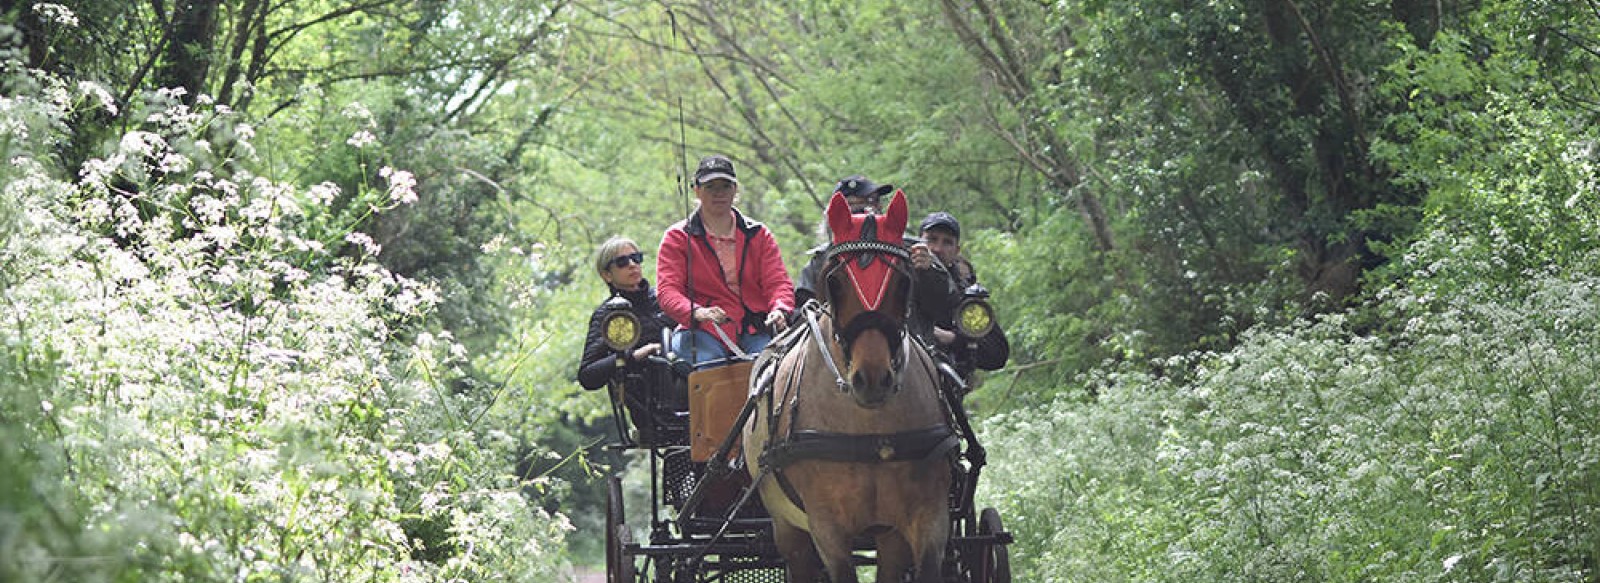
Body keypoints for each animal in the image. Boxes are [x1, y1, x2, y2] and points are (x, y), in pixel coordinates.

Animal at [742, 192, 953, 583]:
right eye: (835, 280)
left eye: (903, 281)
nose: (871, 379)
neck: (870, 429)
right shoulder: (828, 527)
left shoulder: (927, 517)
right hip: (787, 527)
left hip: (887, 534)